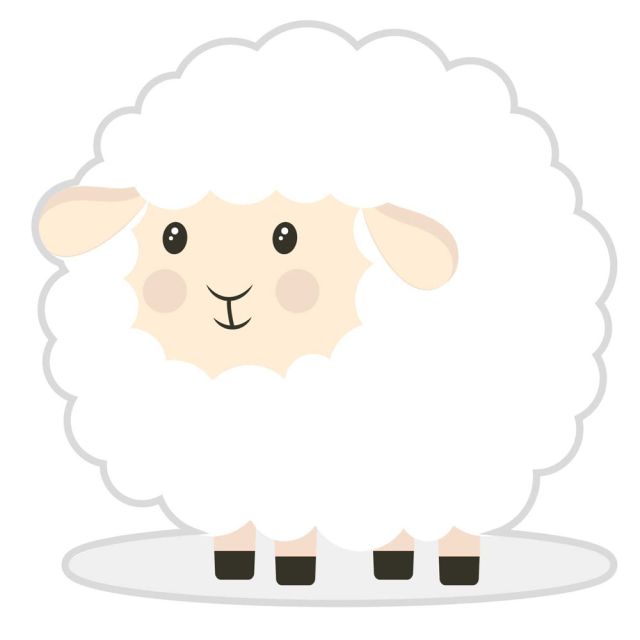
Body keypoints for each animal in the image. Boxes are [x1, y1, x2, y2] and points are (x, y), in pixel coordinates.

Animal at [37, 23, 612, 587]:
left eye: (286, 236)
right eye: (172, 236)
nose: (227, 293)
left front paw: (295, 576)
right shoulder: (233, 473)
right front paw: (234, 570)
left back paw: (440, 571)